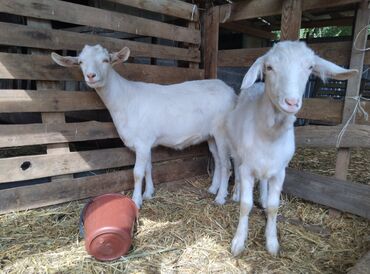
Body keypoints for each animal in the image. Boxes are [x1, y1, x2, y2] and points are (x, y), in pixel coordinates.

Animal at [51, 44, 237, 208]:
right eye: (81, 62)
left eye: (106, 60)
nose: (91, 76)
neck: (125, 99)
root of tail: (230, 91)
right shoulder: (145, 143)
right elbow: (148, 167)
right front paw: (148, 193)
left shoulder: (141, 142)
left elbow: (137, 173)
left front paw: (136, 201)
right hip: (211, 135)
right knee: (218, 160)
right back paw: (214, 189)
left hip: (222, 133)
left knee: (226, 165)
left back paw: (221, 198)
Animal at [227, 41, 356, 256]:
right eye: (269, 67)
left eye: (310, 67)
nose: (291, 102)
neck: (269, 134)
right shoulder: (247, 168)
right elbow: (246, 205)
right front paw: (238, 241)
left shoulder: (280, 171)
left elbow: (274, 207)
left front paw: (272, 243)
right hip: (236, 151)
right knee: (236, 169)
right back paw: (236, 193)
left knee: (264, 182)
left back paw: (263, 197)